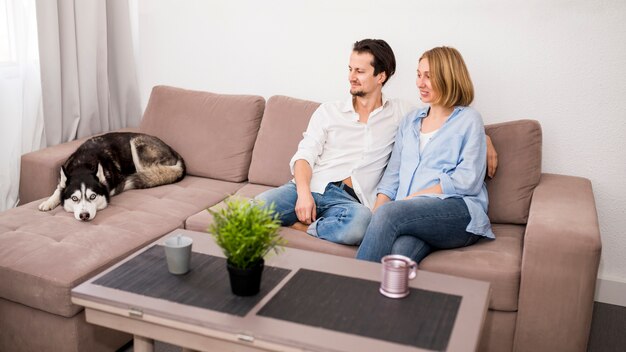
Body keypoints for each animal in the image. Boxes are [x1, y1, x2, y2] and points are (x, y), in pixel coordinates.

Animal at [37, 133, 184, 221]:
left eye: (93, 196)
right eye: (74, 198)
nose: (84, 216)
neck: (83, 165)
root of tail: (176, 153)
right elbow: (58, 190)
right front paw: (48, 202)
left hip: (136, 145)